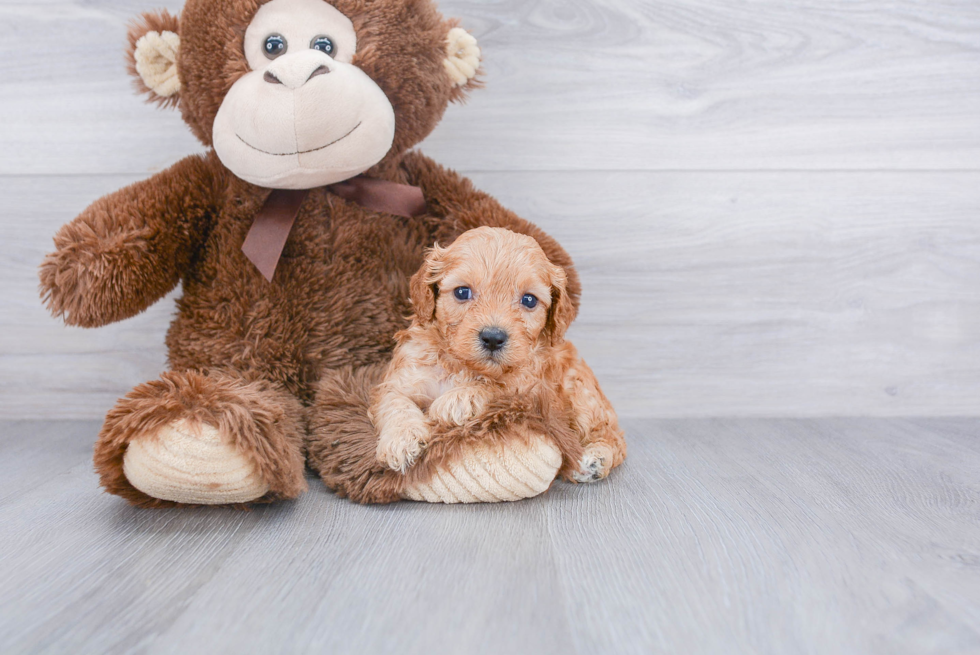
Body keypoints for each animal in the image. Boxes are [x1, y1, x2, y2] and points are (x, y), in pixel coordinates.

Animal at [372, 228, 624, 484]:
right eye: (462, 292)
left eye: (529, 300)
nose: (493, 337)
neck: (461, 366)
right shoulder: (403, 377)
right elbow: (395, 403)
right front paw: (402, 440)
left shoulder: (532, 388)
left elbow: (498, 387)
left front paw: (457, 400)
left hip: (581, 393)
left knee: (612, 436)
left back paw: (595, 459)